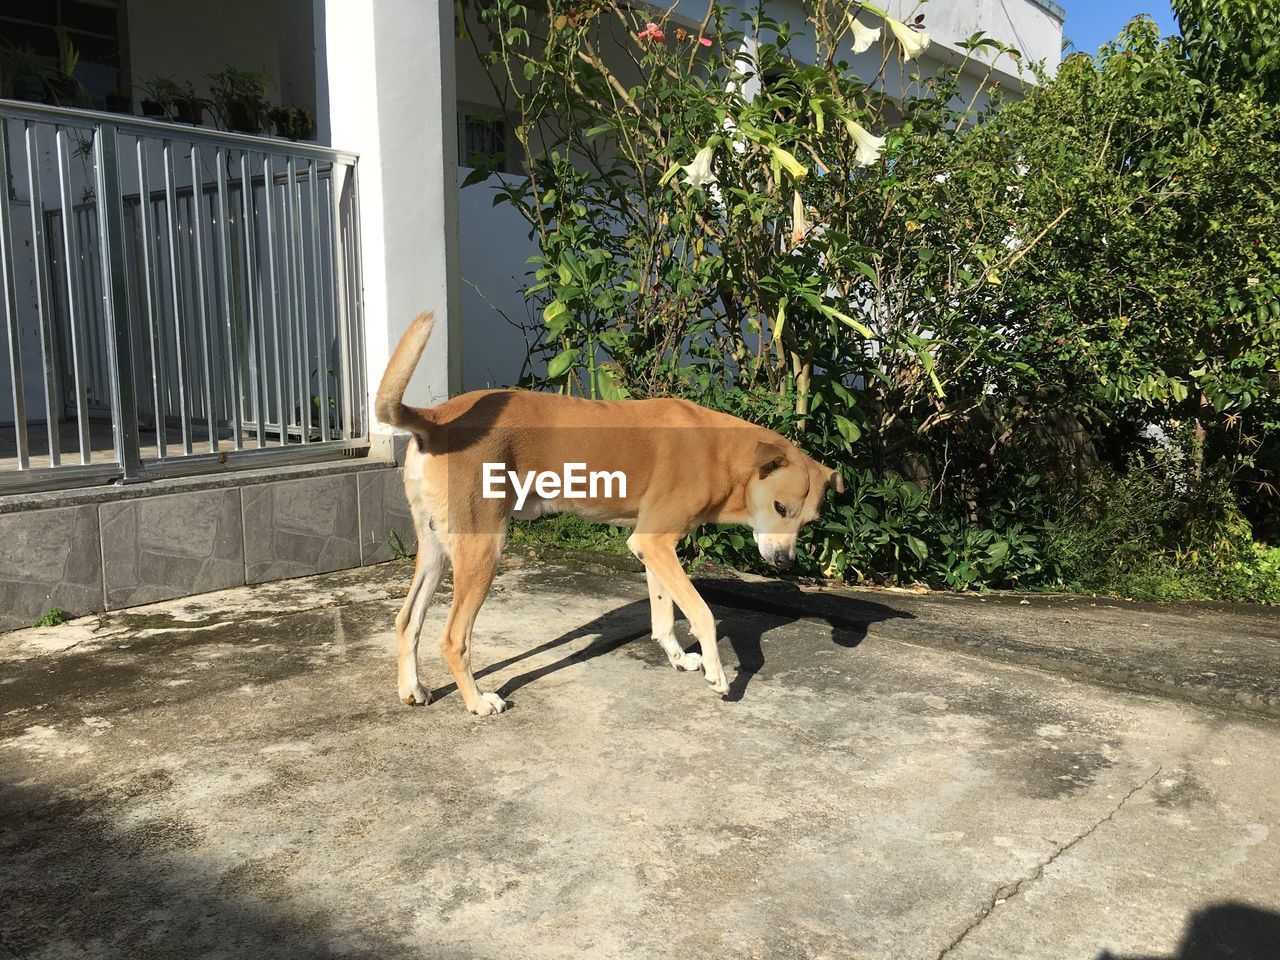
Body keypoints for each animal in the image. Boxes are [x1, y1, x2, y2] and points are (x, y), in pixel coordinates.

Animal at [373, 312, 844, 716]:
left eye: (808, 522)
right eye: (780, 507)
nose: (784, 563)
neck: (720, 452)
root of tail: (437, 417)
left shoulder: (653, 546)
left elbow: (663, 615)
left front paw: (678, 657)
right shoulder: (655, 543)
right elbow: (703, 613)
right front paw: (717, 673)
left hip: (436, 547)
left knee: (407, 619)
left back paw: (412, 688)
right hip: (482, 549)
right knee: (454, 637)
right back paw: (476, 700)